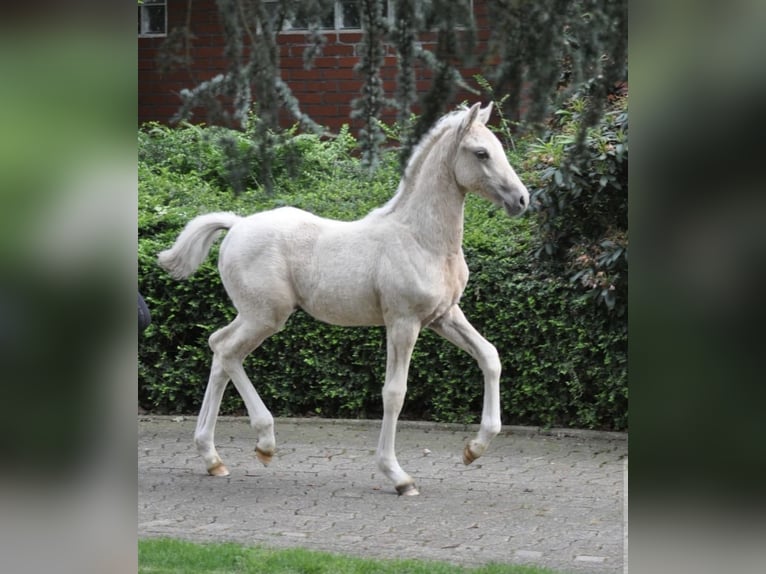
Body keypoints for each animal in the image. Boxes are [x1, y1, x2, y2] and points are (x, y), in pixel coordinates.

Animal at [158, 102, 529, 496]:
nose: (521, 199)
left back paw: (212, 458)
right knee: (227, 351)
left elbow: (490, 356)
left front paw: (474, 449)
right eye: (481, 153)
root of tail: (237, 224)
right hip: (265, 316)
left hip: (253, 315)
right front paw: (398, 476)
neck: (420, 239)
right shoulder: (403, 322)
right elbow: (394, 392)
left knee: (219, 349)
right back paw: (264, 442)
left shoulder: (444, 316)